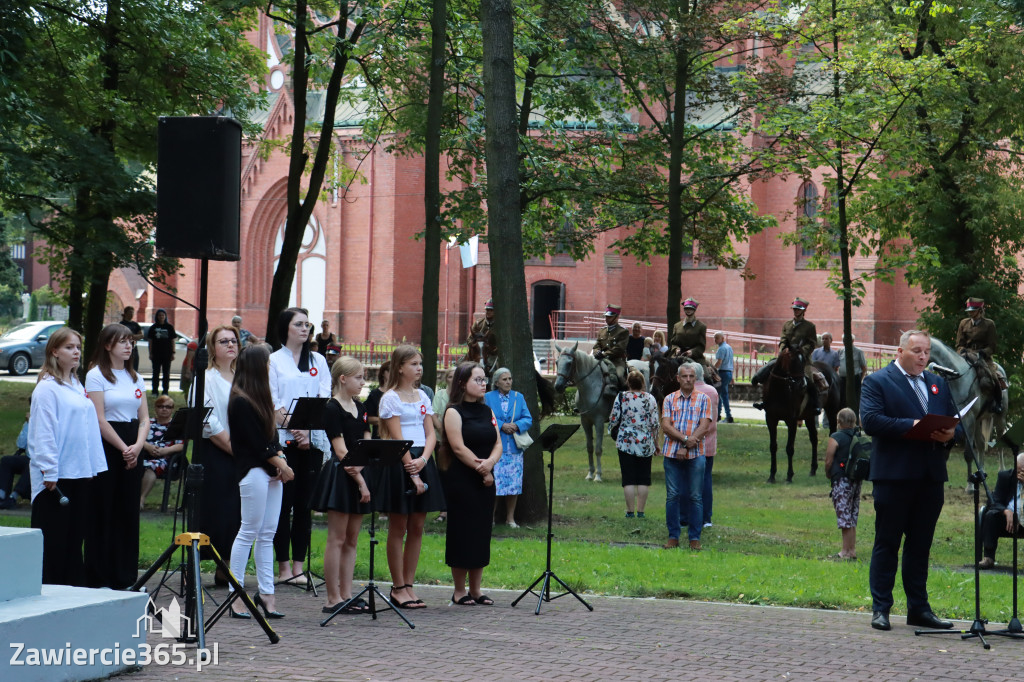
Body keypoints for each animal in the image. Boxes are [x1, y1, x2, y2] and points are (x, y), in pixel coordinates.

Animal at [557, 337, 651, 477]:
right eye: (557, 362)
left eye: (569, 363)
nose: (558, 386)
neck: (590, 386)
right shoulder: (585, 421)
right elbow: (590, 447)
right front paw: (590, 473)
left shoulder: (599, 421)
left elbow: (598, 449)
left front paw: (598, 475)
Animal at [757, 348, 835, 481]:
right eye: (792, 360)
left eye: (803, 360)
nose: (802, 385)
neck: (779, 390)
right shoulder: (771, 419)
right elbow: (773, 446)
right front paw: (772, 475)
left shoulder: (791, 421)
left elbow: (789, 448)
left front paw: (789, 476)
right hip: (809, 417)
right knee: (814, 438)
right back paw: (813, 469)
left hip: (832, 410)